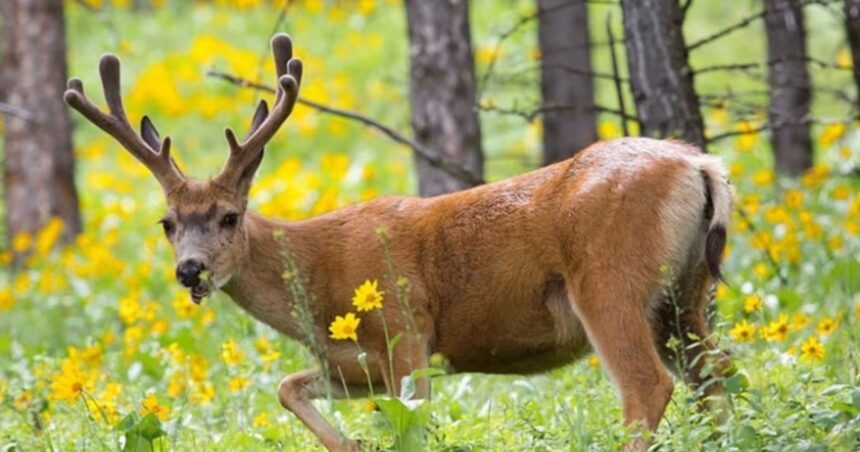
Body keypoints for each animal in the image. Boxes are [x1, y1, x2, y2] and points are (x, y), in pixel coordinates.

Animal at [67, 33, 736, 450]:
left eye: (229, 216)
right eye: (167, 223)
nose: (191, 270)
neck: (317, 279)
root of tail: (701, 165)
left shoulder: (406, 331)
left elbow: (411, 428)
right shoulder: (352, 363)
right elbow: (286, 387)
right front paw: (354, 442)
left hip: (609, 281)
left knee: (648, 387)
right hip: (684, 294)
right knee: (717, 375)